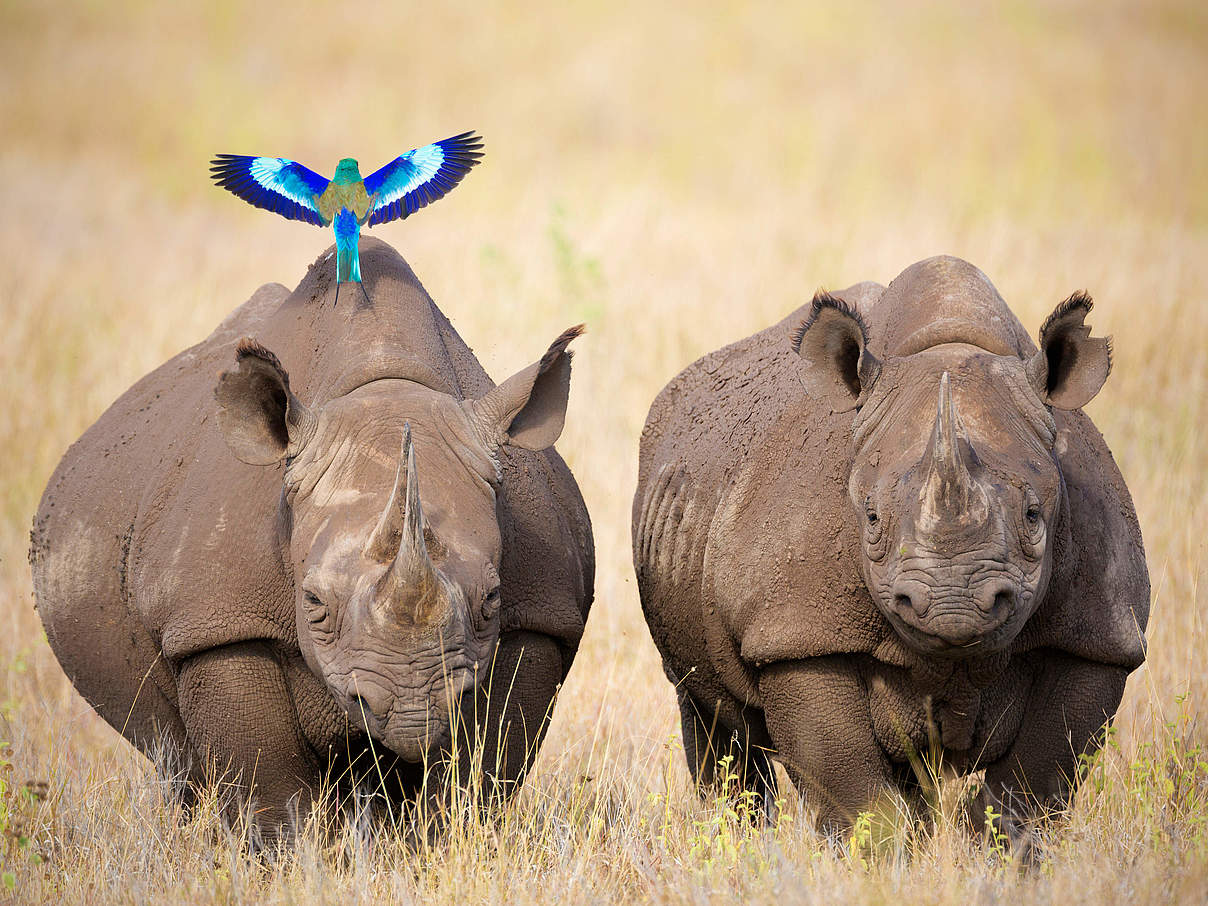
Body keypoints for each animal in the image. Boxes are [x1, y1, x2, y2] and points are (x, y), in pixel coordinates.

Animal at [29, 237, 594, 840]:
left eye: (491, 599)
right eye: (314, 602)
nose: (412, 708)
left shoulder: (538, 614)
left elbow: (481, 775)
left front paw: (443, 844)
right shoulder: (217, 624)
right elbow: (268, 791)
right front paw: (294, 857)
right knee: (176, 758)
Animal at [632, 256, 1150, 845]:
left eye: (1034, 516)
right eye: (872, 517)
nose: (954, 608)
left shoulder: (1101, 637)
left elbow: (1027, 798)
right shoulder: (796, 636)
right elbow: (863, 805)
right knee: (714, 723)